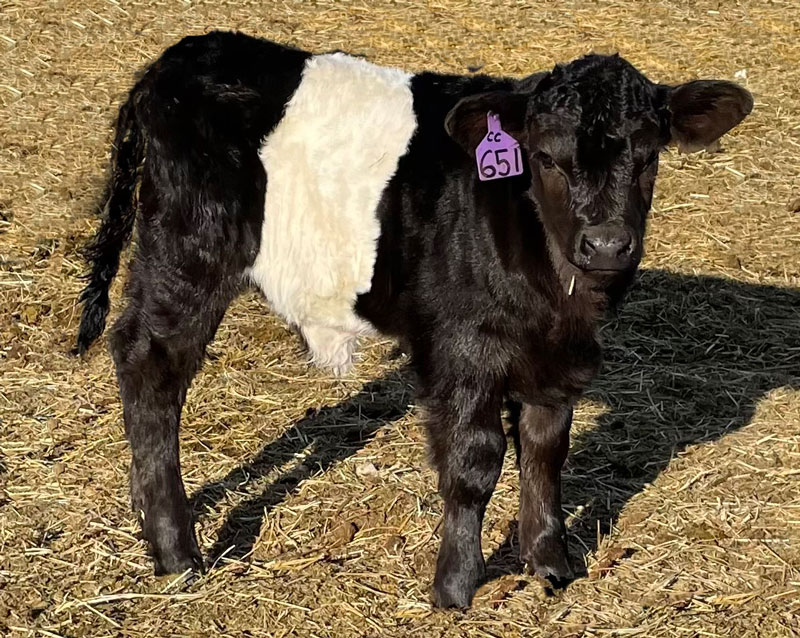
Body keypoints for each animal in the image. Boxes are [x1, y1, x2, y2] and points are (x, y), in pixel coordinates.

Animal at [75, 30, 752, 608]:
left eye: (648, 157)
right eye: (545, 158)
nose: (608, 244)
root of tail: (178, 57)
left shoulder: (559, 359)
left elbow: (545, 450)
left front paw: (551, 565)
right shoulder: (461, 348)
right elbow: (475, 461)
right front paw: (454, 587)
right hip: (189, 251)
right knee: (150, 364)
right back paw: (177, 553)